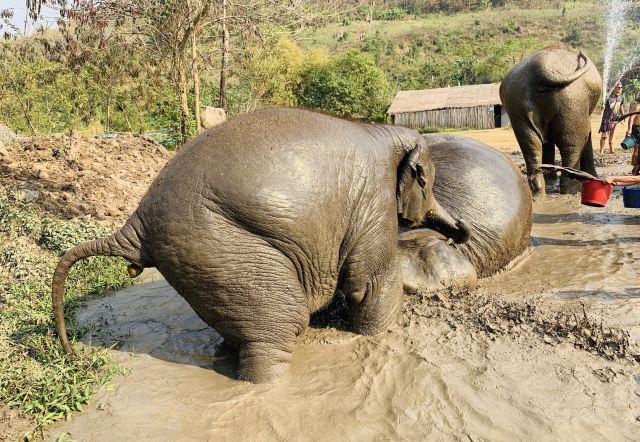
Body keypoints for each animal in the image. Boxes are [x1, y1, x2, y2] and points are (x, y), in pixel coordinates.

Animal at [51, 107, 470, 383]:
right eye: (428, 184)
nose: (458, 231)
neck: (385, 132)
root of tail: (137, 222)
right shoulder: (373, 198)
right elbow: (369, 282)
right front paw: (379, 337)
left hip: (204, 262)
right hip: (223, 248)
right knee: (280, 325)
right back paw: (266, 385)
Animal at [500, 48, 602, 196]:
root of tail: (540, 66)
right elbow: (586, 135)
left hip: (516, 103)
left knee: (531, 146)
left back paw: (539, 191)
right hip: (573, 98)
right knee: (572, 145)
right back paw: (573, 190)